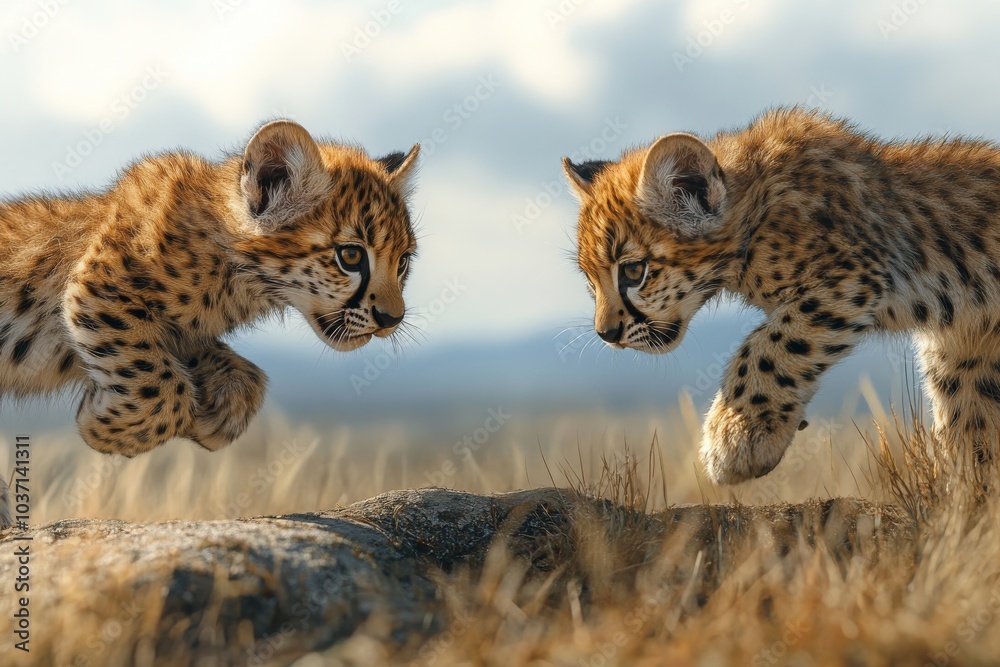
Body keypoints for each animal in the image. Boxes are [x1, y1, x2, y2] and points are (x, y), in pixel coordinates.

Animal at [0, 119, 420, 457]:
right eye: (350, 256)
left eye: (402, 262)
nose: (392, 319)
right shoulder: (98, 286)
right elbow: (163, 390)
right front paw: (103, 427)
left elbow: (234, 374)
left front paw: (223, 410)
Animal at [563, 107, 1000, 487]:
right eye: (589, 281)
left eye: (633, 272)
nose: (606, 333)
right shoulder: (961, 351)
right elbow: (971, 426)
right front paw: (970, 505)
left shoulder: (853, 278)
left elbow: (769, 347)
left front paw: (735, 438)